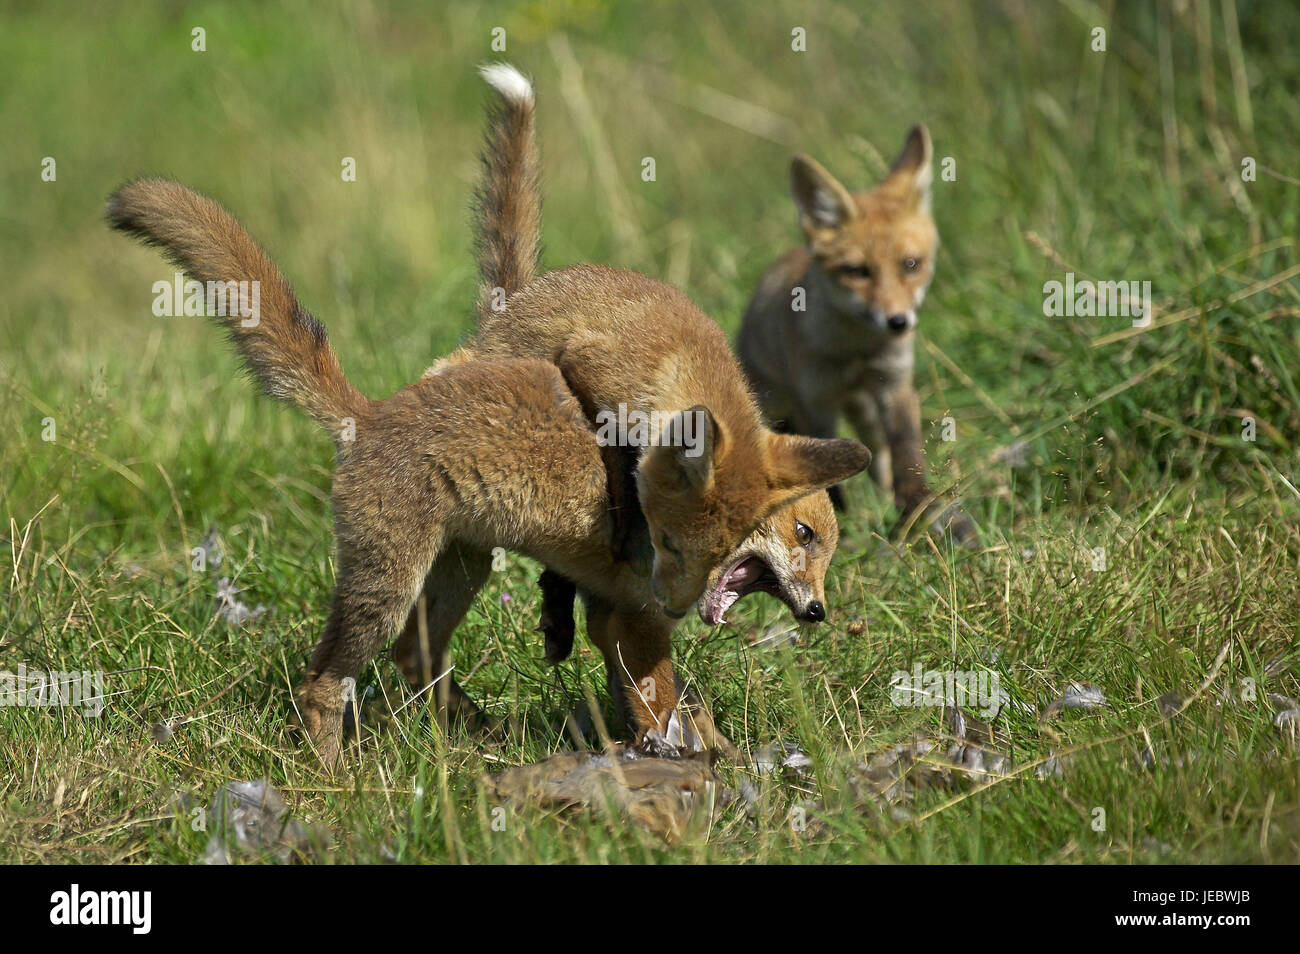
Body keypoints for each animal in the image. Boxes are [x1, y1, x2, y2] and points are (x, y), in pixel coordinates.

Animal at [743, 128, 977, 545]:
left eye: (911, 265)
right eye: (858, 271)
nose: (897, 322)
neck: (855, 351)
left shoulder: (893, 385)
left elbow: (906, 454)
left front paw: (920, 507)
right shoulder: (816, 402)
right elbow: (825, 478)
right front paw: (839, 521)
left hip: (867, 414)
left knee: (880, 459)